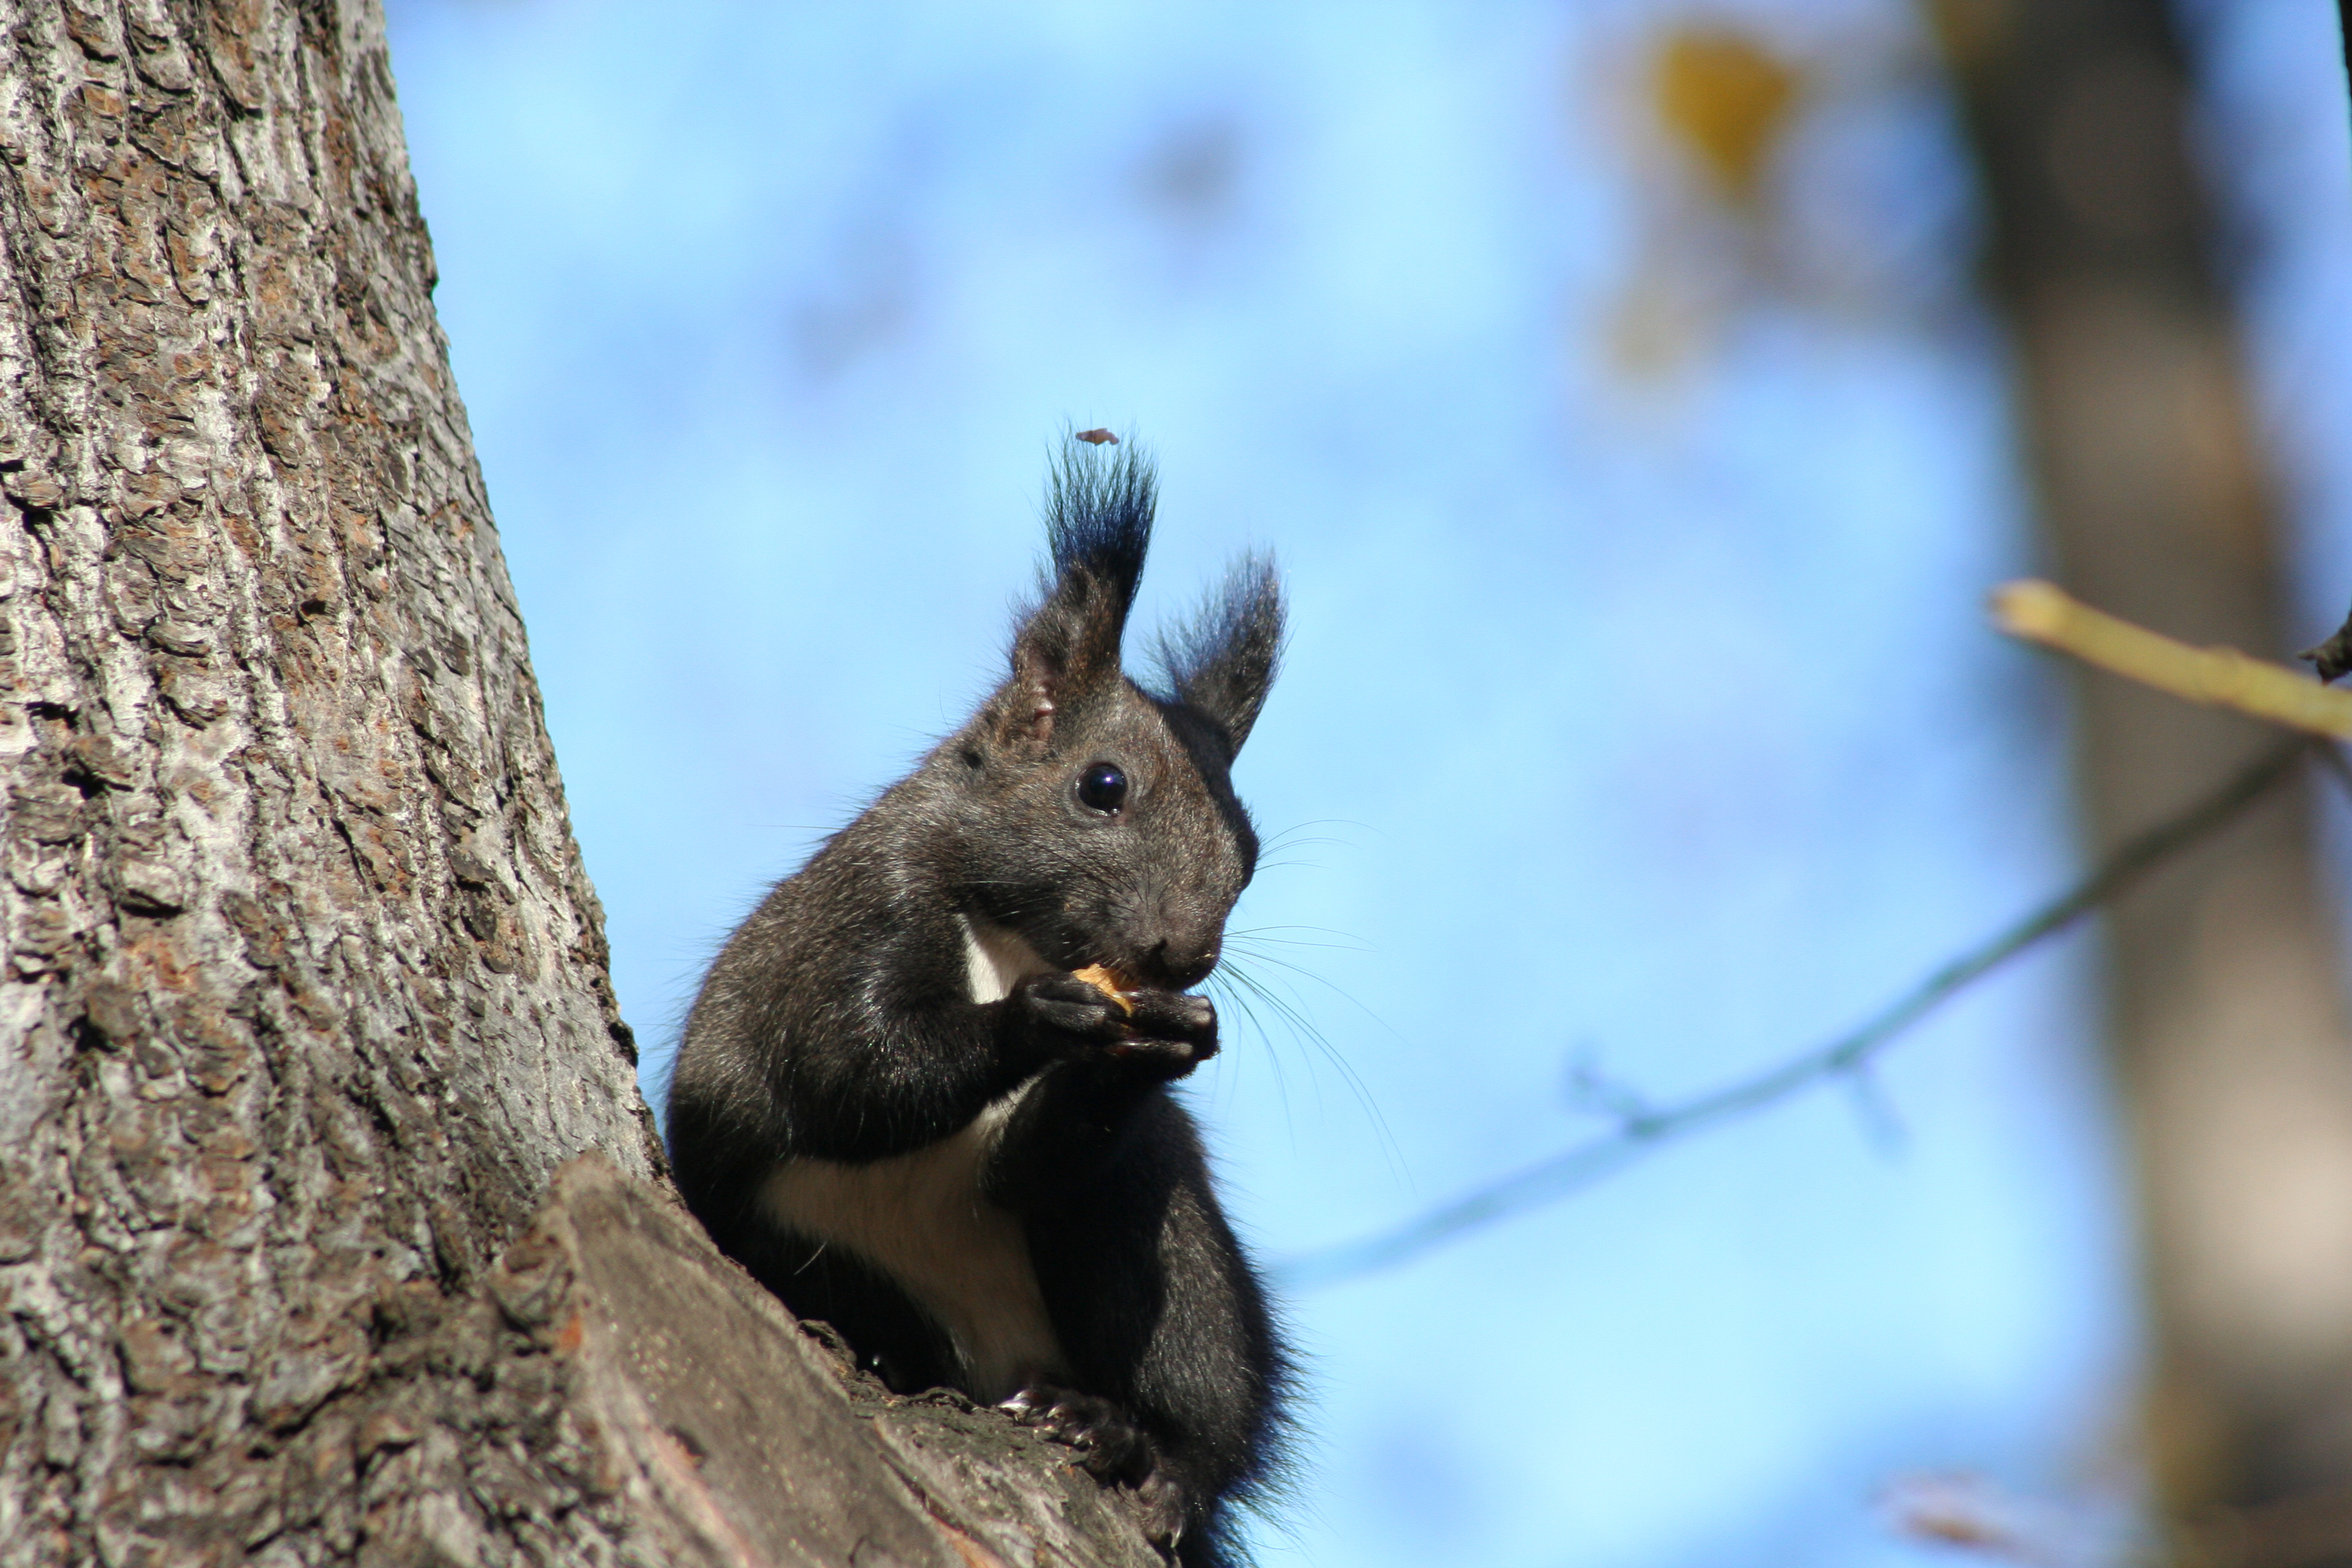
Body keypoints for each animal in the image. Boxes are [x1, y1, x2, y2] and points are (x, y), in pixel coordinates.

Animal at [663, 435, 1288, 1561]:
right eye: (1102, 787)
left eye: (1251, 850)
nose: (1184, 957)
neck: (1013, 939)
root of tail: (1007, 1367)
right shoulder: (846, 928)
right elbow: (853, 1071)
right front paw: (1048, 1020)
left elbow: (1023, 1165)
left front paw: (1146, 1052)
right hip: (829, 1264)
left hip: (1170, 1259)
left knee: (1205, 1424)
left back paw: (1135, 1448)